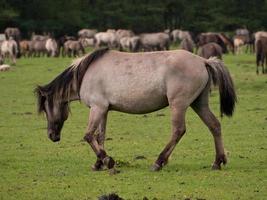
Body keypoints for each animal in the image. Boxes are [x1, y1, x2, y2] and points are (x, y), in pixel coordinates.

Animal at [35, 47, 237, 173]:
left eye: (46, 108)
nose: (52, 135)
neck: (86, 73)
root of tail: (203, 61)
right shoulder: (104, 110)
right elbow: (100, 136)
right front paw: (99, 163)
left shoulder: (97, 108)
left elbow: (88, 135)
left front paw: (107, 160)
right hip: (199, 104)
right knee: (214, 125)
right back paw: (218, 162)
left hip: (178, 105)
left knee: (178, 130)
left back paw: (158, 162)